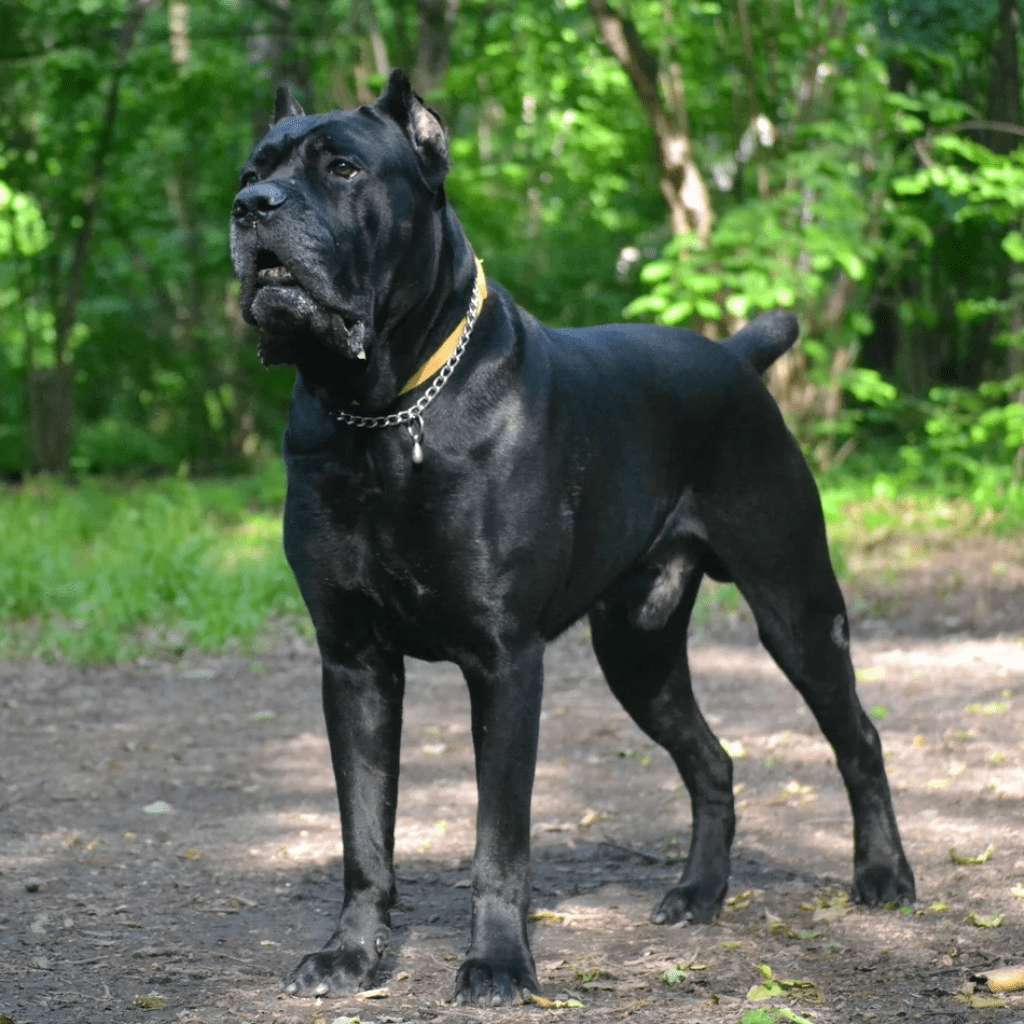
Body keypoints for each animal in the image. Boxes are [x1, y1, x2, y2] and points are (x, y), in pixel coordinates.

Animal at [230, 72, 913, 1007]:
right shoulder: (354, 662)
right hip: (637, 649)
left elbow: (499, 840)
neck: (384, 414)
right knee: (713, 762)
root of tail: (736, 357)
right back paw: (698, 893)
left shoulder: (505, 662)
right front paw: (352, 953)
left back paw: (883, 875)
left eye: (342, 168)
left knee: (859, 738)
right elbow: (364, 831)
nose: (251, 208)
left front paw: (496, 963)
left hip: (797, 608)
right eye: (251, 170)